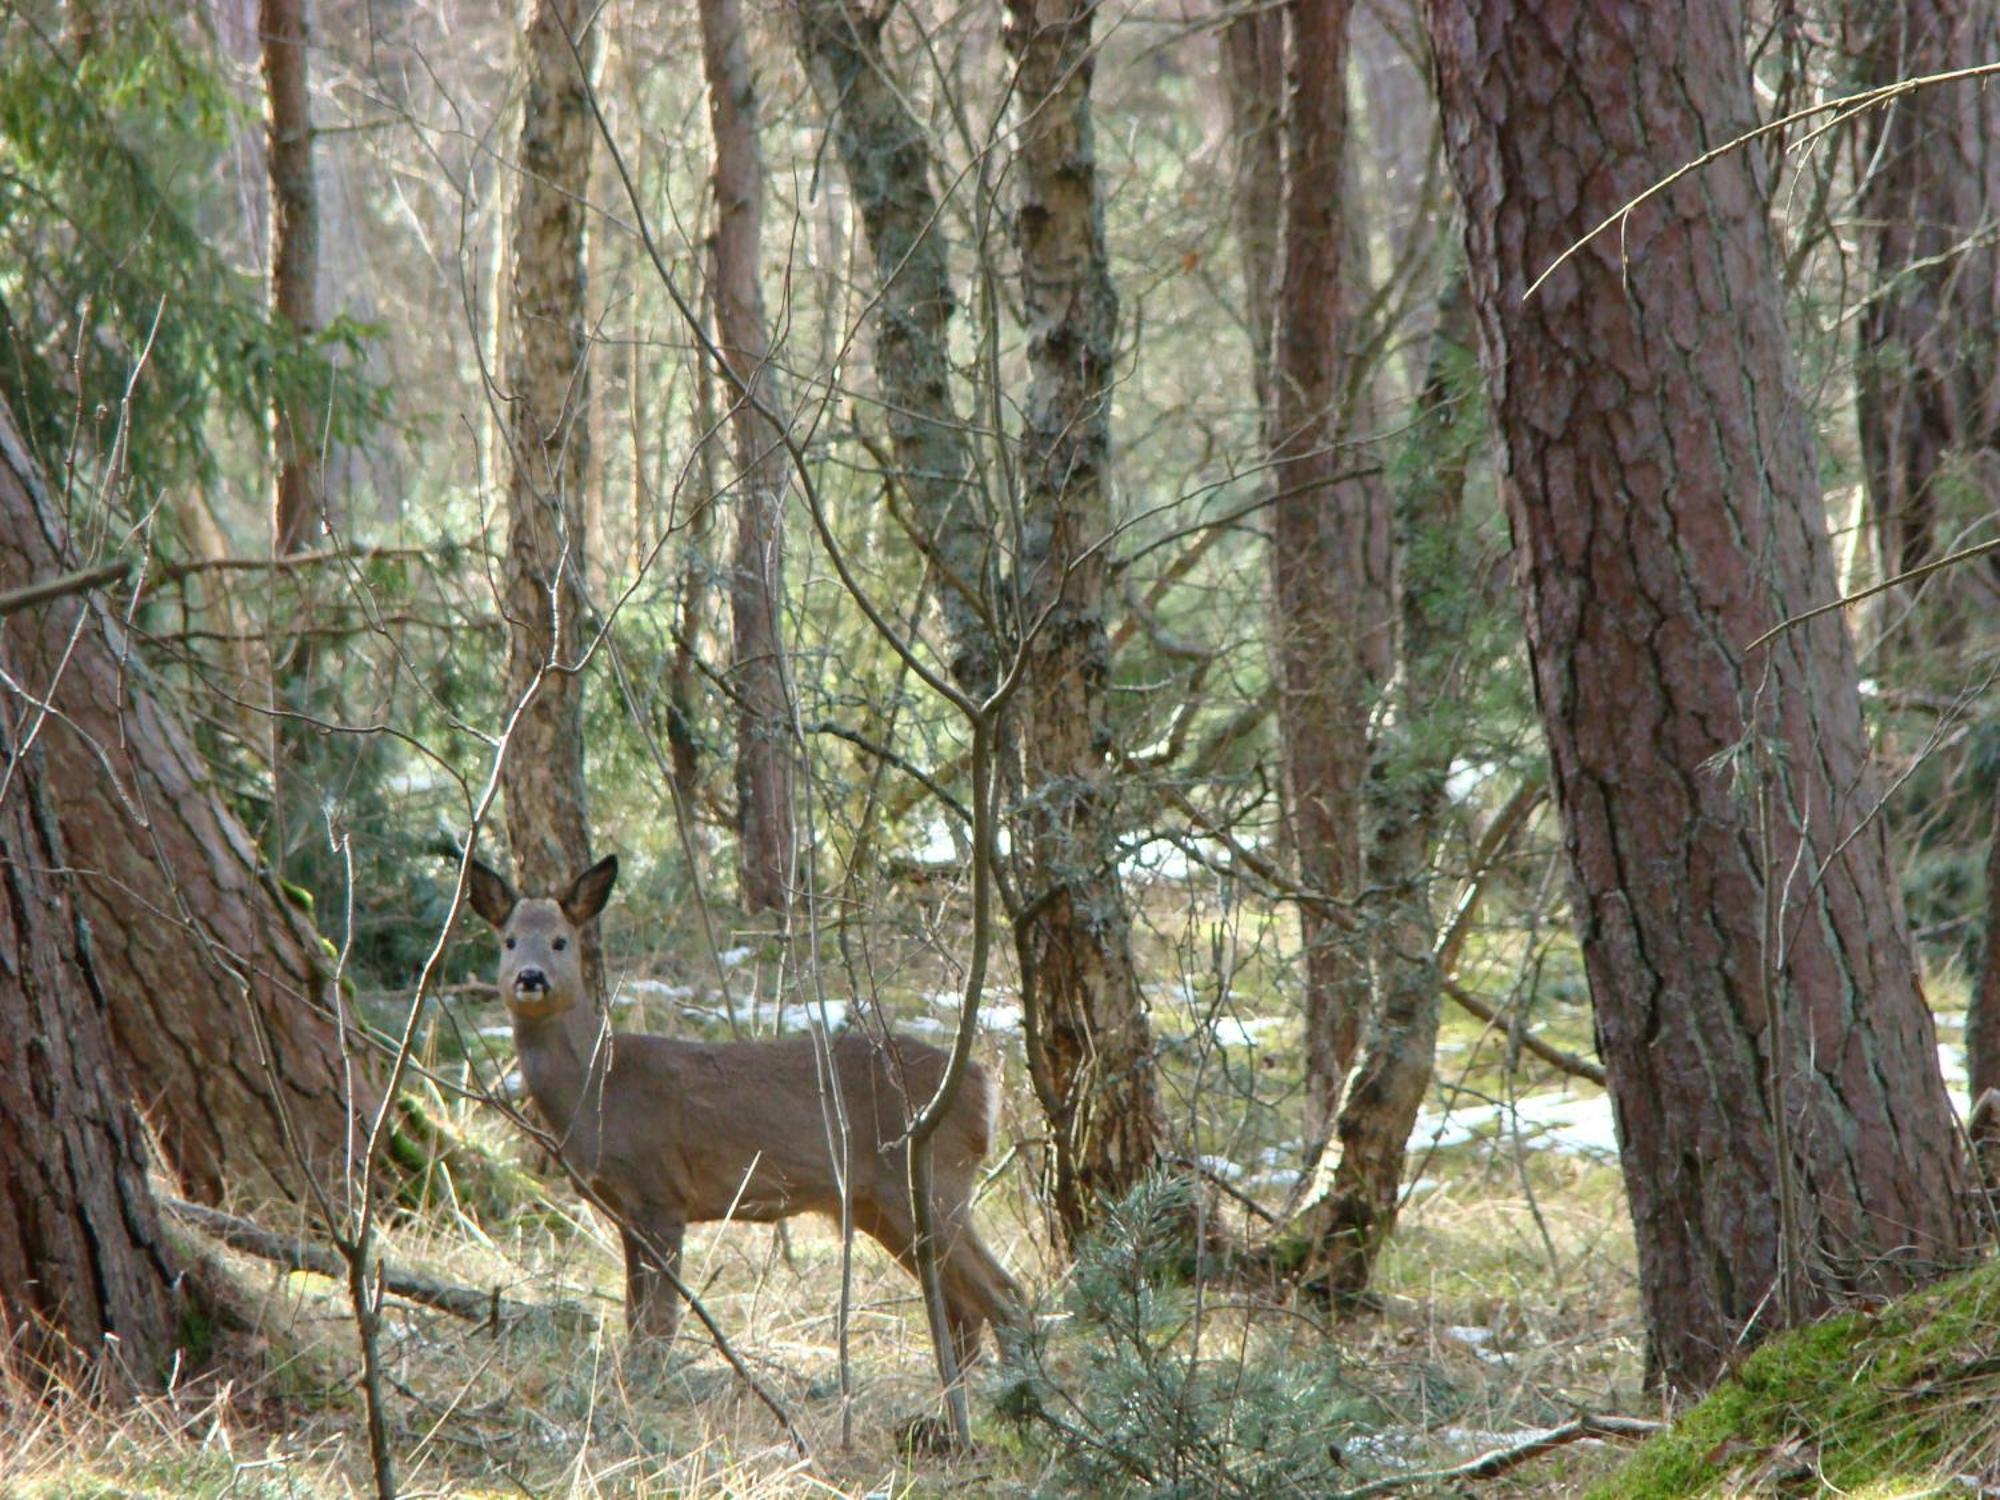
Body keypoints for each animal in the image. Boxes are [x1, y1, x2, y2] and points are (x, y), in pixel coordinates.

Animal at [466, 852, 1024, 1368]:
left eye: (560, 941)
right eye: (509, 941)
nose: (530, 977)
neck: (601, 1086)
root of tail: (984, 1085)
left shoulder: (661, 1192)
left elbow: (659, 1322)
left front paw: (653, 1382)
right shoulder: (626, 1210)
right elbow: (634, 1318)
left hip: (931, 1179)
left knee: (1004, 1294)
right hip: (880, 1204)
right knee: (960, 1308)